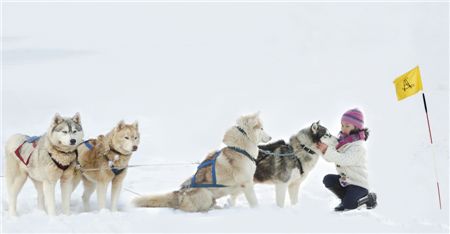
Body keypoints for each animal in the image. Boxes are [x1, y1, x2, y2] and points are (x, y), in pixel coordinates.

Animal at [133, 113, 270, 212]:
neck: (240, 148)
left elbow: (234, 196)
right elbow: (254, 201)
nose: (271, 137)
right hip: (206, 194)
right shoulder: (246, 183)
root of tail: (180, 193)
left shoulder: (242, 184)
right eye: (262, 128)